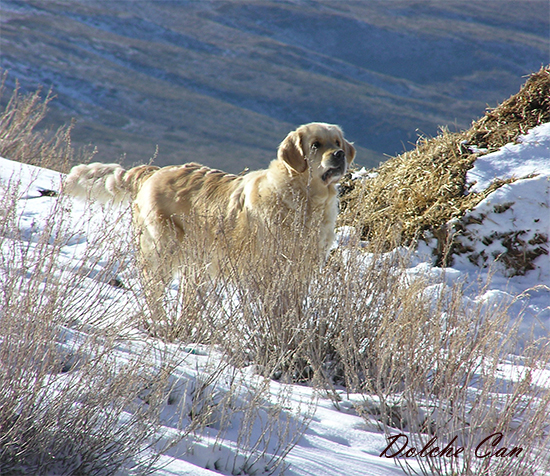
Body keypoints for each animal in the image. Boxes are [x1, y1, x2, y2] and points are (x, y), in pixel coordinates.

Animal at [64, 122, 356, 300]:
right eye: (316, 144)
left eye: (337, 141)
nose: (340, 154)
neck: (306, 201)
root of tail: (155, 171)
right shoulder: (267, 269)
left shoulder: (302, 271)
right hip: (162, 249)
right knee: (153, 291)